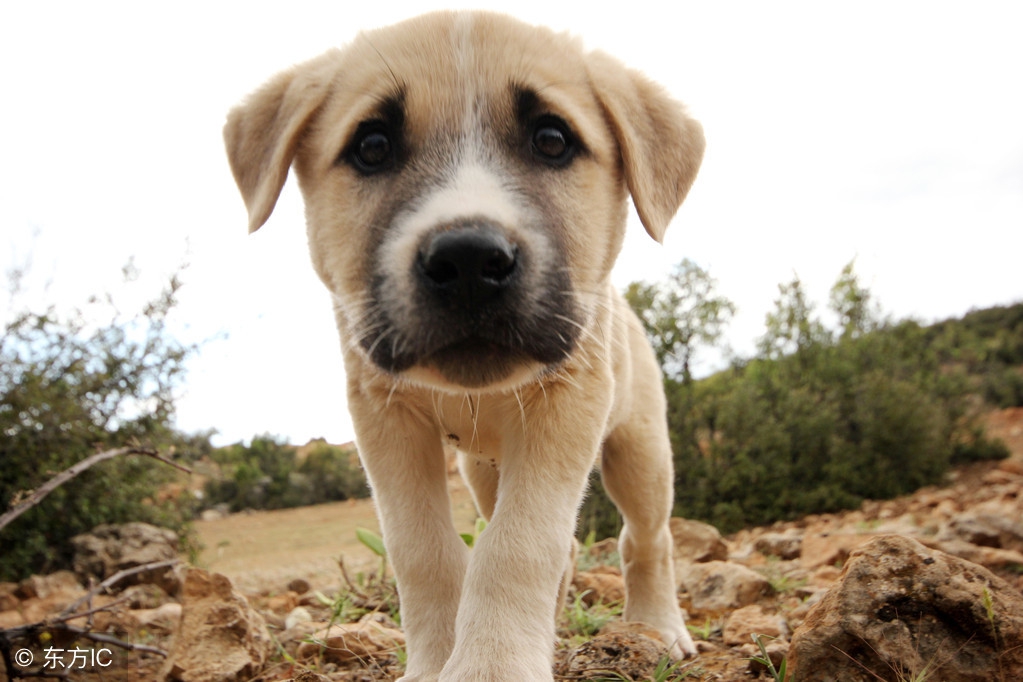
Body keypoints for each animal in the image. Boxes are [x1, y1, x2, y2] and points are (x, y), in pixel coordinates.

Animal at [224, 12, 703, 682]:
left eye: (552, 139)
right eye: (372, 147)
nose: (471, 261)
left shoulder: (568, 404)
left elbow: (518, 544)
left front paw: (494, 665)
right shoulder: (384, 418)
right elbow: (421, 550)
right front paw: (436, 663)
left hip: (641, 450)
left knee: (646, 537)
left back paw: (658, 626)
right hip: (484, 469)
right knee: (563, 543)